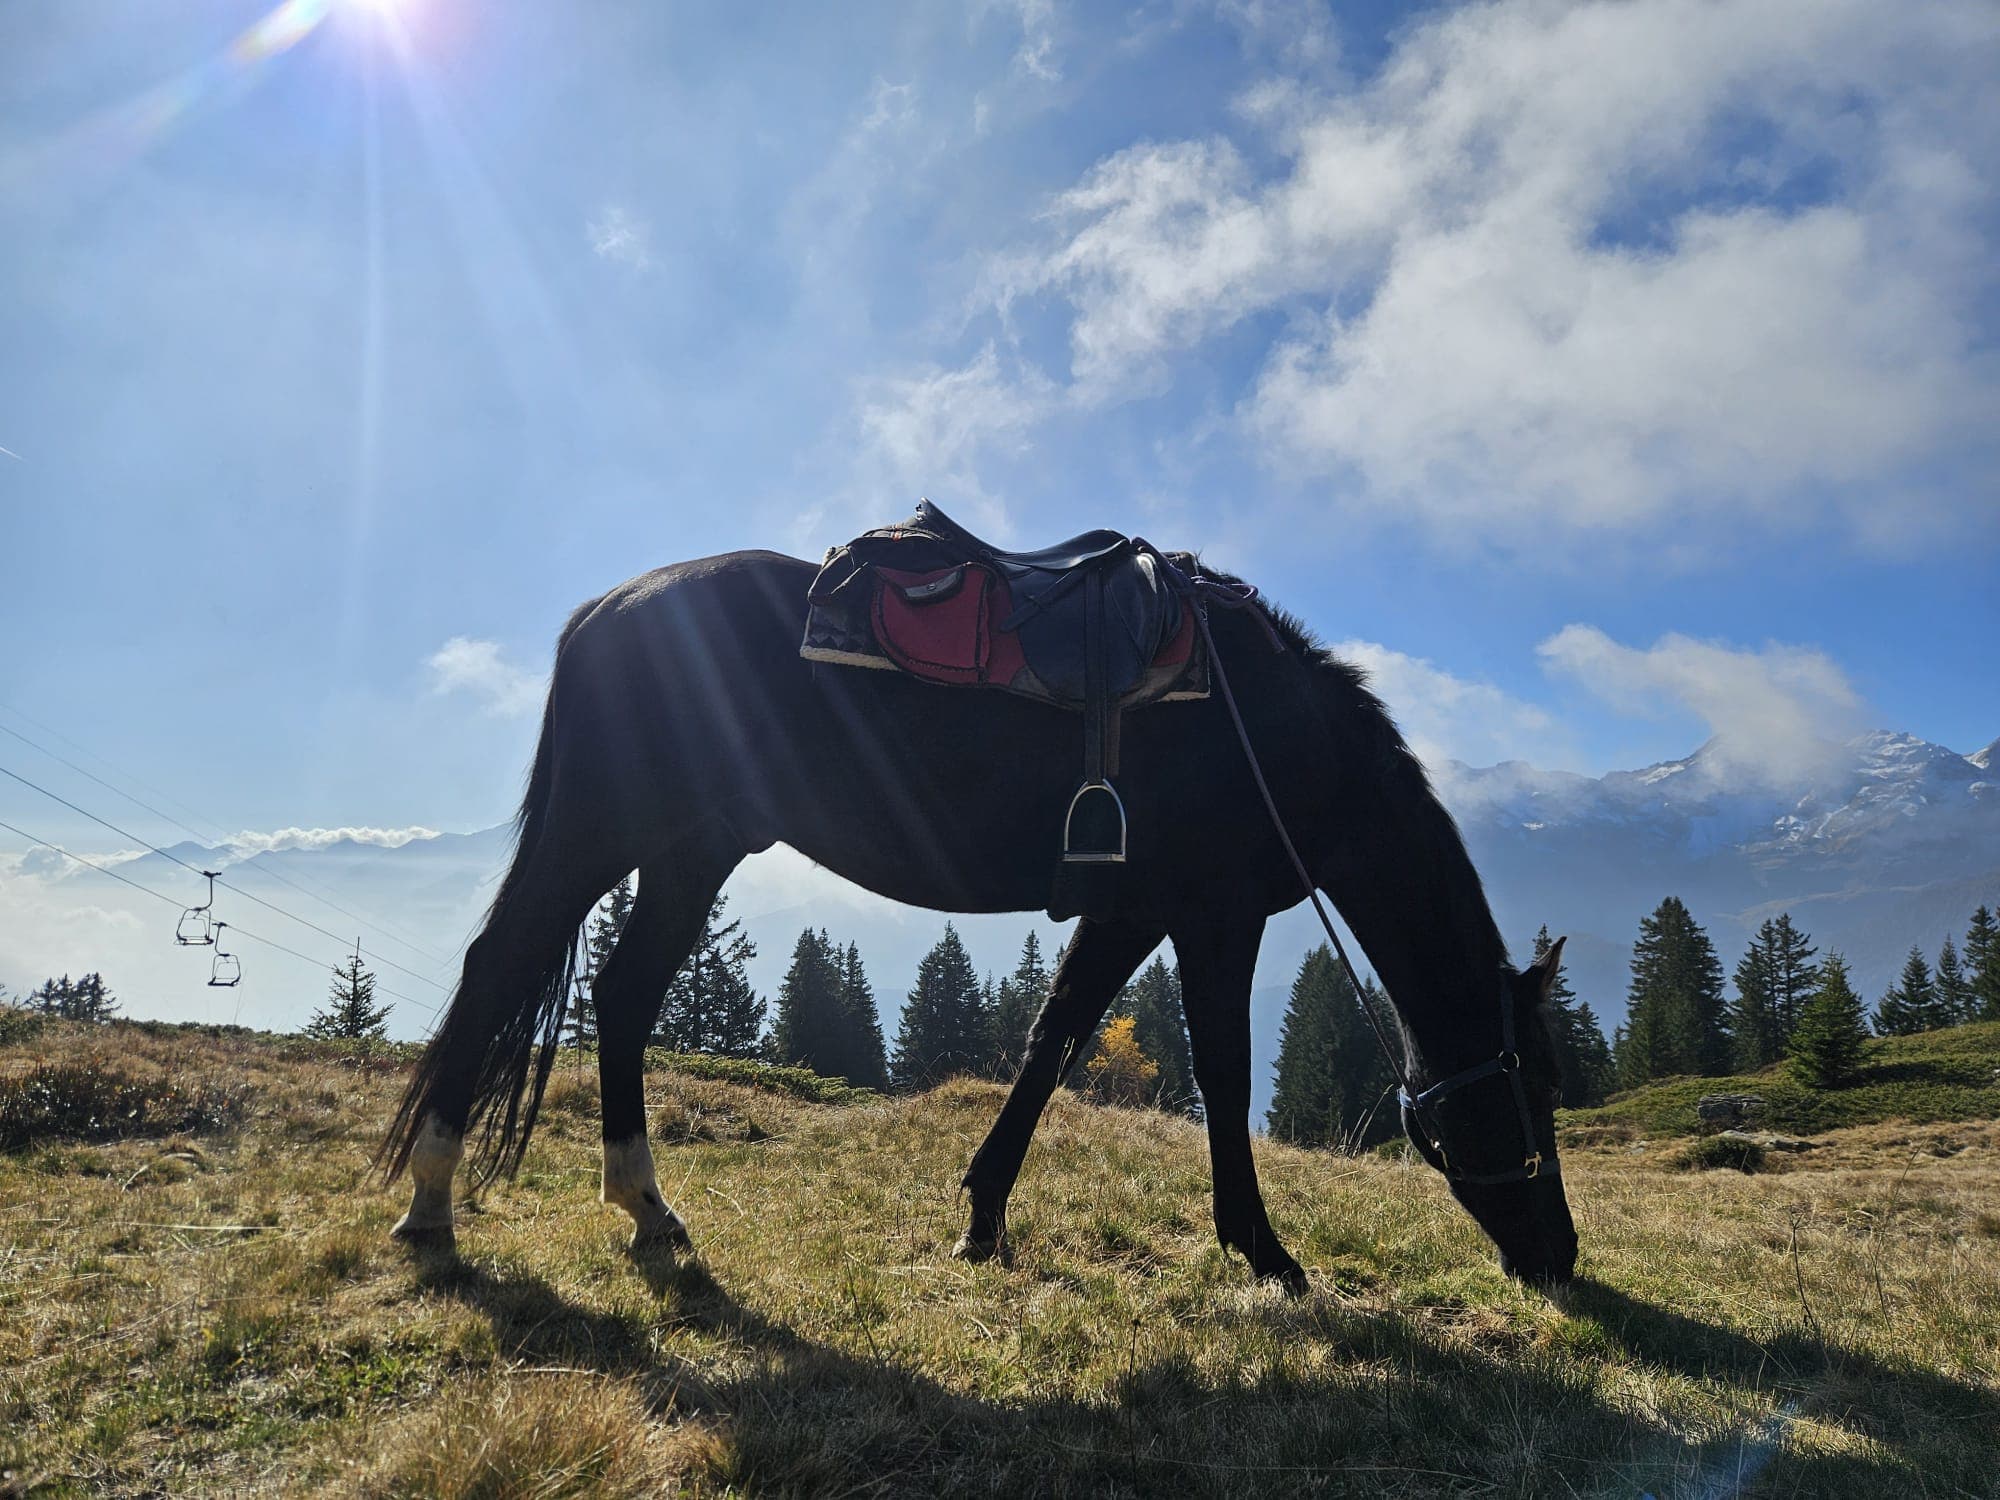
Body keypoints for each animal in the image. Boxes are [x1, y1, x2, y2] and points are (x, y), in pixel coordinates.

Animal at [379, 546, 1579, 1289]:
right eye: (1533, 1087)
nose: (1561, 1256)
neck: (1273, 735)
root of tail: (607, 610)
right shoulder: (1210, 914)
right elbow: (1222, 1073)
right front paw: (1265, 1252)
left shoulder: (1128, 908)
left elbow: (1053, 1041)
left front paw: (982, 1216)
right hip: (603, 830)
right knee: (500, 965)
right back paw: (431, 1200)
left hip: (691, 848)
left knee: (623, 994)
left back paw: (645, 1205)